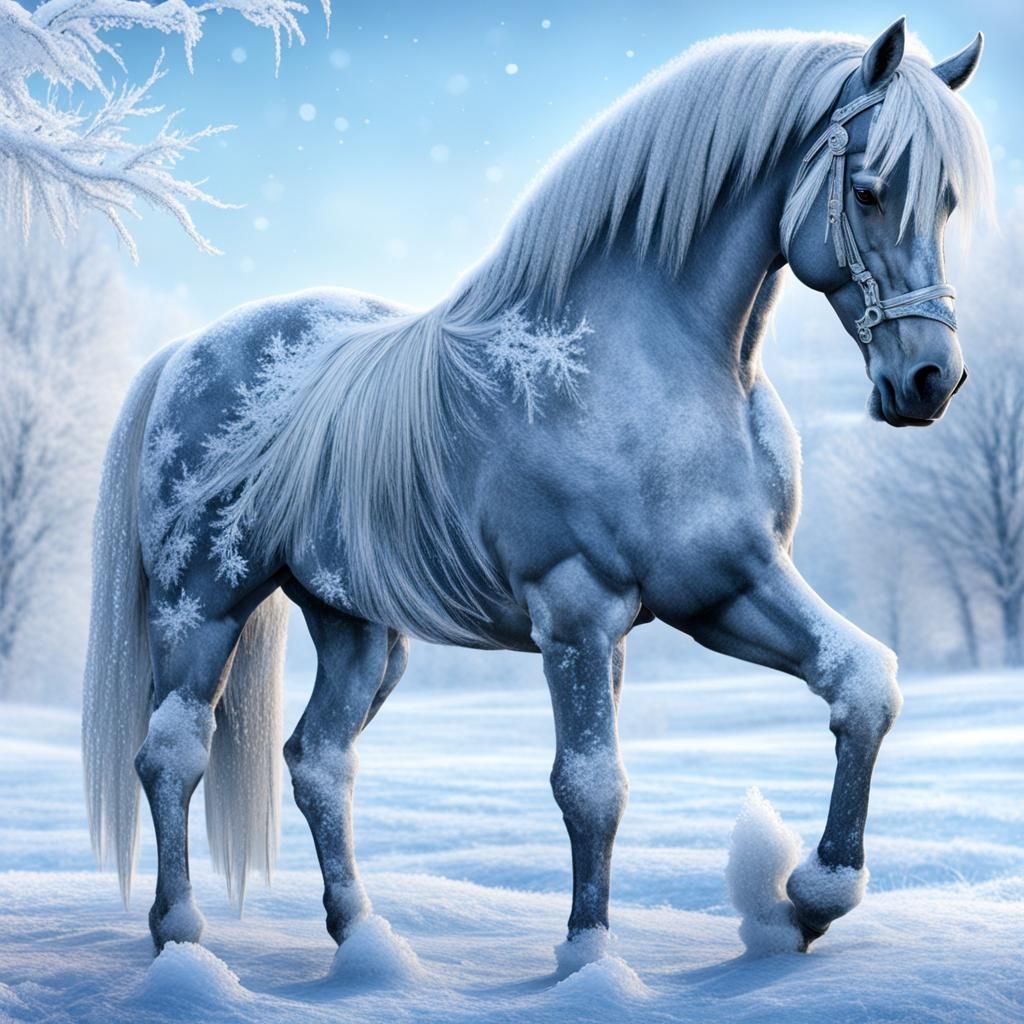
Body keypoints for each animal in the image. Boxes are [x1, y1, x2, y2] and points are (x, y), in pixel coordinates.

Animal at [83, 20, 992, 964]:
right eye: (870, 191)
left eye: (947, 202)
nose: (931, 379)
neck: (659, 363)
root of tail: (187, 353)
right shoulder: (578, 611)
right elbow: (590, 785)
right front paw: (589, 957)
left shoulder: (724, 587)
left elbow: (864, 680)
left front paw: (810, 898)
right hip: (201, 607)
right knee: (172, 754)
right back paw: (181, 939)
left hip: (356, 626)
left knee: (319, 760)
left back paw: (364, 940)